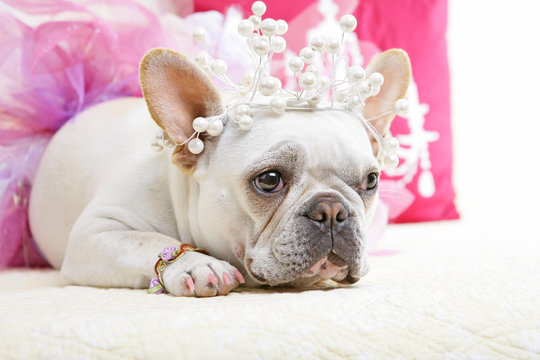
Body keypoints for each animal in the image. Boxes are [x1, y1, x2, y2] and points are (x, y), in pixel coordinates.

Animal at [28, 47, 410, 296]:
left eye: (371, 181)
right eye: (269, 180)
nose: (332, 210)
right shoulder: (93, 234)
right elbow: (146, 239)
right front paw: (196, 264)